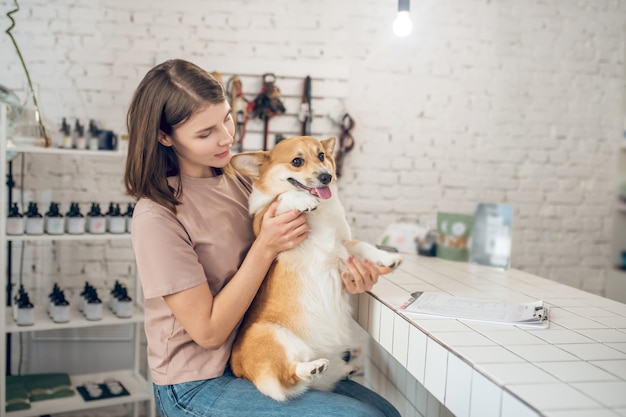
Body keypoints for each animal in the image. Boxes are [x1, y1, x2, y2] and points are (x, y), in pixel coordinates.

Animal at [229, 136, 400, 400]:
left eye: (321, 156)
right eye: (297, 161)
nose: (326, 177)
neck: (322, 212)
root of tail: (240, 370)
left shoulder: (345, 244)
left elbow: (363, 247)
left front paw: (387, 258)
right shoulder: (264, 225)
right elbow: (283, 197)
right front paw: (302, 200)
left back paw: (343, 368)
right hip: (272, 336)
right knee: (288, 377)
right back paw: (311, 367)